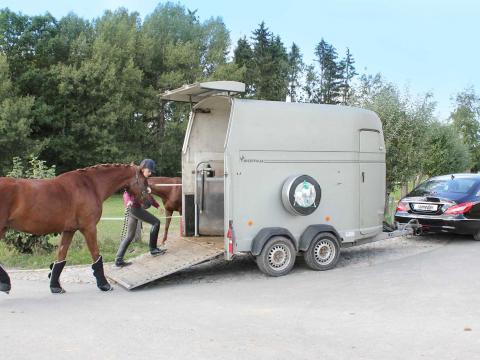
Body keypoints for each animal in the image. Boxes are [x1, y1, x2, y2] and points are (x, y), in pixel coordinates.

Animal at [0, 165, 149, 294]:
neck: (91, 185)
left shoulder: (69, 231)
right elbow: (96, 255)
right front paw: (104, 285)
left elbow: (61, 256)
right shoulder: (89, 228)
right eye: (144, 181)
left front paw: (55, 287)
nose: (147, 203)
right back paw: (5, 283)